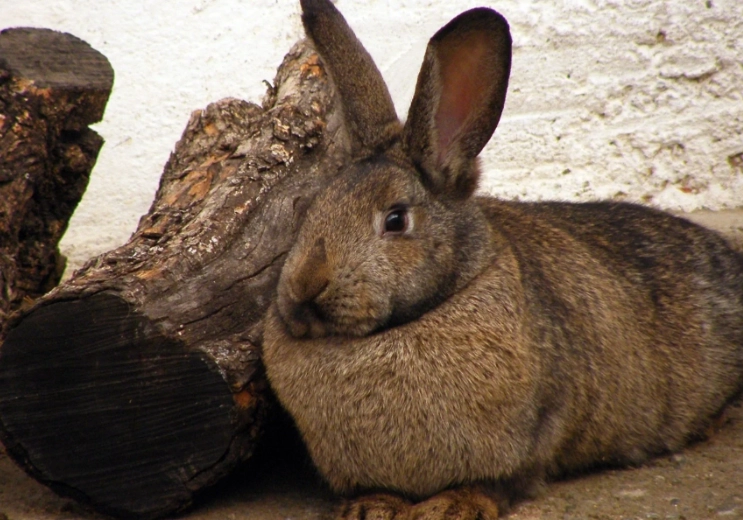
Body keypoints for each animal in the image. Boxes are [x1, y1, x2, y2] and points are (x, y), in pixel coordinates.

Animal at [261, 0, 743, 518]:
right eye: (310, 207)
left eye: (395, 219)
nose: (304, 289)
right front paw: (371, 507)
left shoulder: (535, 437)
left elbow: (501, 482)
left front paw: (452, 507)